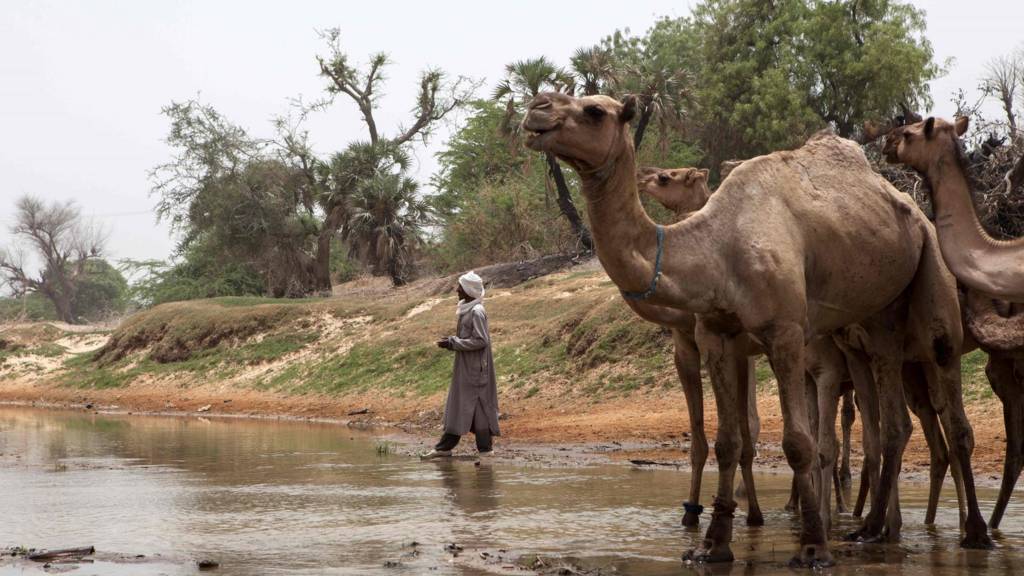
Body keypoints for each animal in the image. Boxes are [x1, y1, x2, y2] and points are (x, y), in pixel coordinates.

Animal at [520, 91, 991, 561]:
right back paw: (876, 530)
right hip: (876, 320)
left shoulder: (784, 333)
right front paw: (714, 544)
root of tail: (913, 210)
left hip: (932, 277)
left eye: (594, 111)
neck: (718, 247)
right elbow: (728, 441)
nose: (536, 108)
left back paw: (973, 532)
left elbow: (797, 442)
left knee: (952, 409)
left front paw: (813, 546)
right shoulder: (716, 335)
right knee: (894, 419)